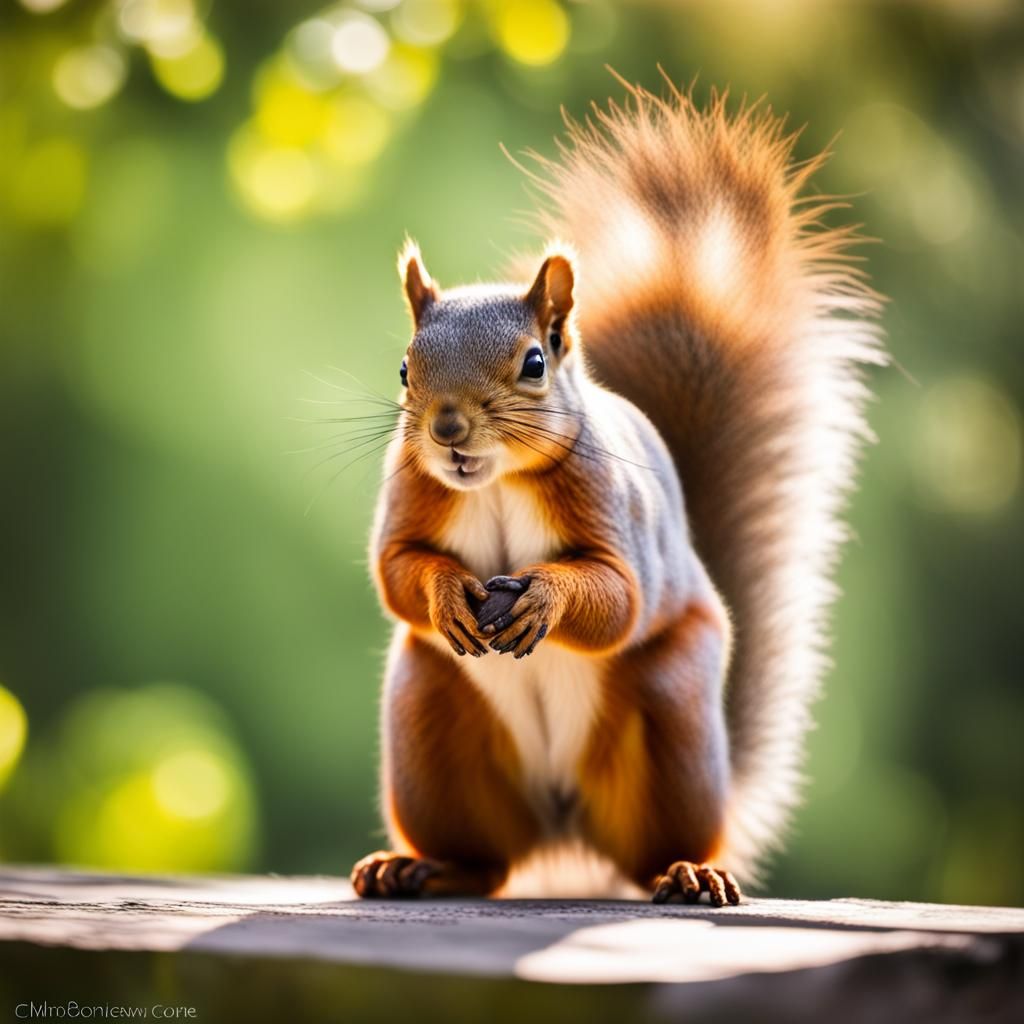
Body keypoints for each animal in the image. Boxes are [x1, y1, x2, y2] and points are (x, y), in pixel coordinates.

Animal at [351, 75, 885, 905]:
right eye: (406, 369)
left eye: (534, 364)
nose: (446, 430)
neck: (496, 482)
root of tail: (564, 823)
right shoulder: (412, 492)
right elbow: (396, 569)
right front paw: (443, 594)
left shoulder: (611, 510)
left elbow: (621, 596)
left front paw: (546, 597)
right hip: (428, 713)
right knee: (488, 863)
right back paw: (420, 866)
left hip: (671, 717)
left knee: (651, 852)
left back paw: (690, 871)